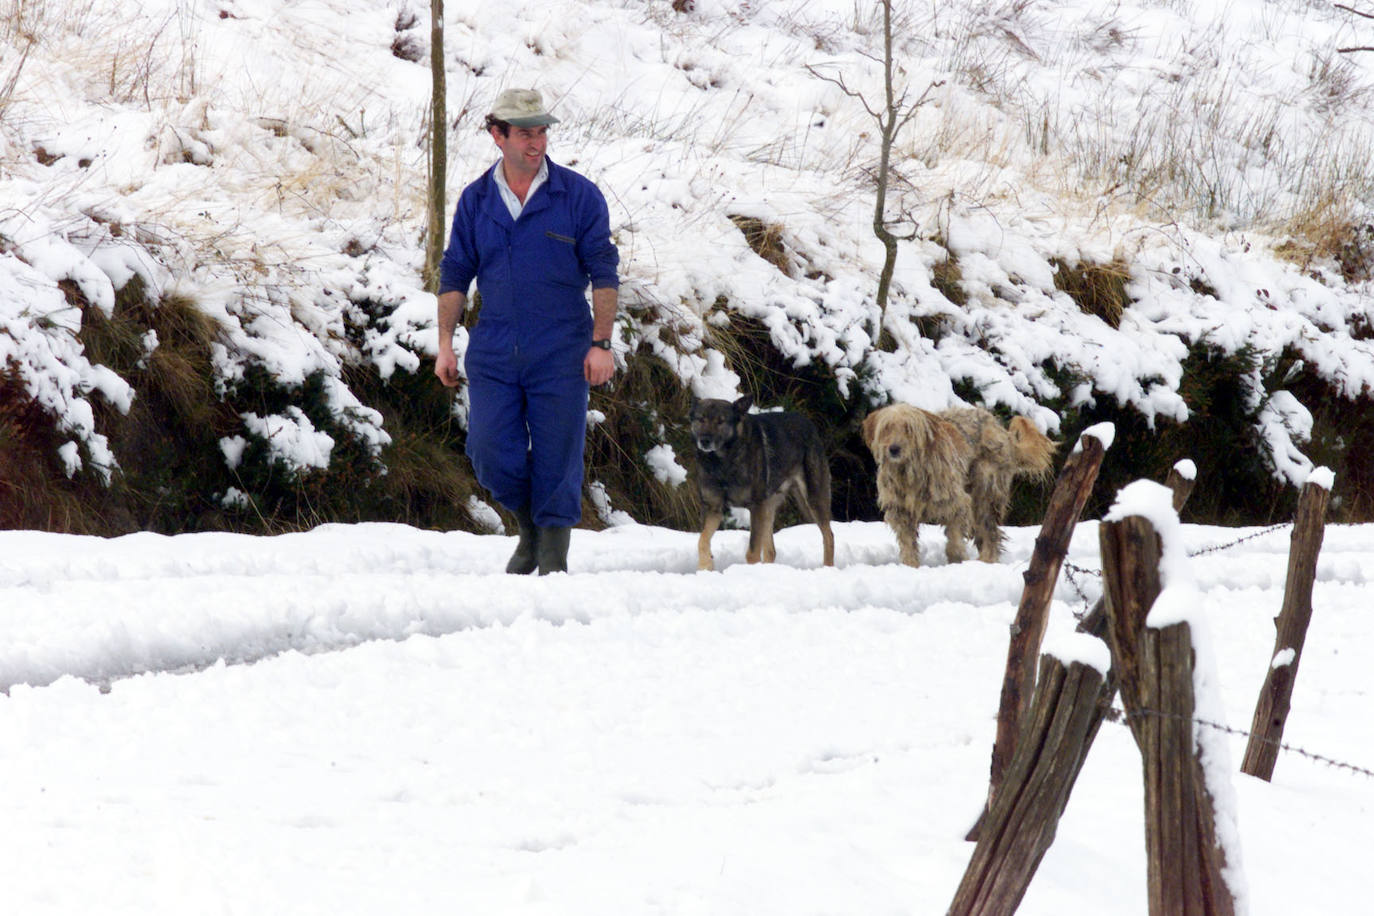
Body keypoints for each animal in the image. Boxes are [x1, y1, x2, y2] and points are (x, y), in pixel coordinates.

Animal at [687, 395, 835, 568]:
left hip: (812, 500)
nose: (705, 441)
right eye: (701, 419)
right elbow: (702, 541)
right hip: (769, 507)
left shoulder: (756, 507)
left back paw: (828, 567)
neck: (723, 461)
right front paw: (706, 567)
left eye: (720, 421)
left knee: (829, 536)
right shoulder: (713, 509)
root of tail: (809, 424)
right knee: (771, 551)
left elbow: (752, 552)